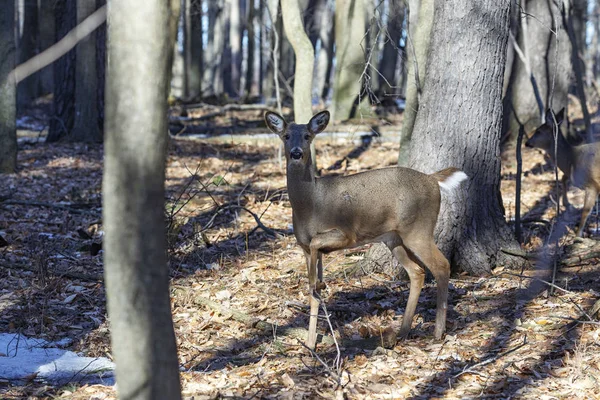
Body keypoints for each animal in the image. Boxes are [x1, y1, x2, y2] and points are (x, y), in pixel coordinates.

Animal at [266, 110, 468, 350]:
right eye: (286, 136)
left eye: (307, 135)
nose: (296, 153)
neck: (311, 205)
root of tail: (432, 179)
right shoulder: (304, 247)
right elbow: (312, 289)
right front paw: (310, 343)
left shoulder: (347, 232)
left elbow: (317, 255)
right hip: (394, 238)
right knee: (417, 271)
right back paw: (402, 332)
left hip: (418, 229)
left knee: (441, 265)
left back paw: (437, 331)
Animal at [524, 108, 600, 236]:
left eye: (538, 131)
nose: (527, 143)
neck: (572, 158)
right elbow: (563, 178)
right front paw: (567, 204)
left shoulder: (592, 184)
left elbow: (585, 211)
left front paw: (577, 235)